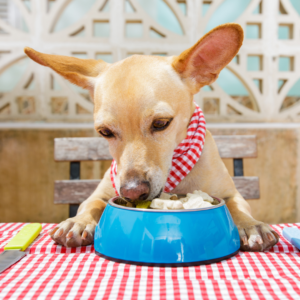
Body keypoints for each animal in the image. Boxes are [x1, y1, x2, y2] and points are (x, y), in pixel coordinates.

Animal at [24, 22, 280, 251]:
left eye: (161, 123)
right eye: (104, 132)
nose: (131, 191)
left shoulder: (232, 194)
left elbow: (236, 207)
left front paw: (250, 225)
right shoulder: (99, 194)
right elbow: (92, 204)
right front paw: (77, 222)